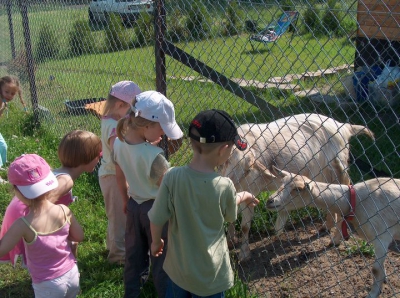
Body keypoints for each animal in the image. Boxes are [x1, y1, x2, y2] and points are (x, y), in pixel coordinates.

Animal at [220, 113, 374, 262]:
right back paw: (326, 227)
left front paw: (244, 255)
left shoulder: (250, 190)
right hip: (322, 173)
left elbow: (245, 227)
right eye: (226, 161)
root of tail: (344, 126)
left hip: (337, 170)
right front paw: (230, 241)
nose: (230, 183)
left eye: (248, 169)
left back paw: (335, 240)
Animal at [266, 168, 400, 298]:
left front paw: (373, 294)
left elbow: (375, 269)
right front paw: (384, 279)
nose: (269, 201)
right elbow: (380, 266)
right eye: (282, 183)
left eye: (297, 189)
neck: (354, 201)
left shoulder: (382, 236)